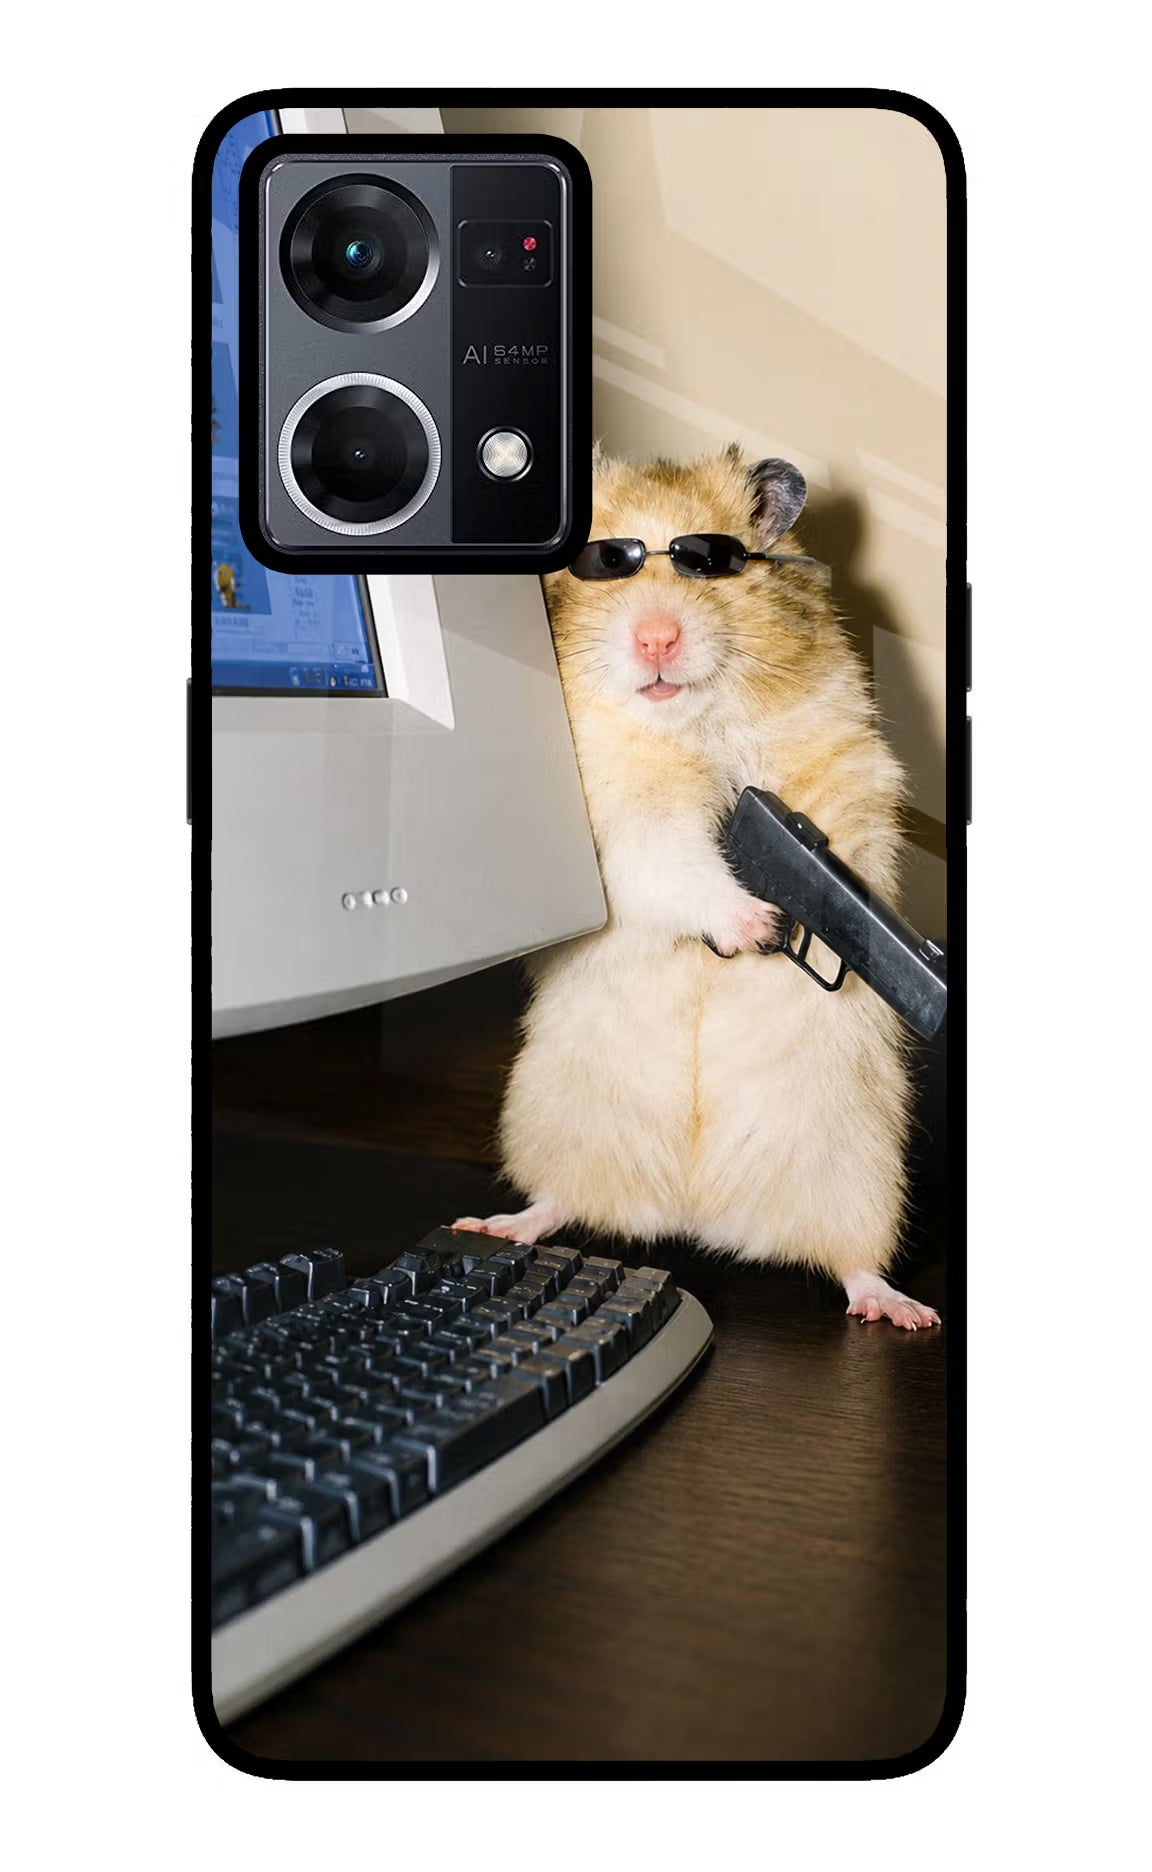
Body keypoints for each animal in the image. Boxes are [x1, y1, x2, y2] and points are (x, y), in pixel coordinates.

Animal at [456, 446, 939, 1329]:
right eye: (603, 562)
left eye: (708, 562)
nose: (657, 638)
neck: (689, 724)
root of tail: (694, 1212)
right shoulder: (620, 820)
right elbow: (675, 862)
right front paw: (756, 925)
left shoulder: (843, 764)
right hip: (555, 1119)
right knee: (560, 1200)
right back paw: (498, 1223)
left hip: (857, 1169)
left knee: (852, 1261)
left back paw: (901, 1309)